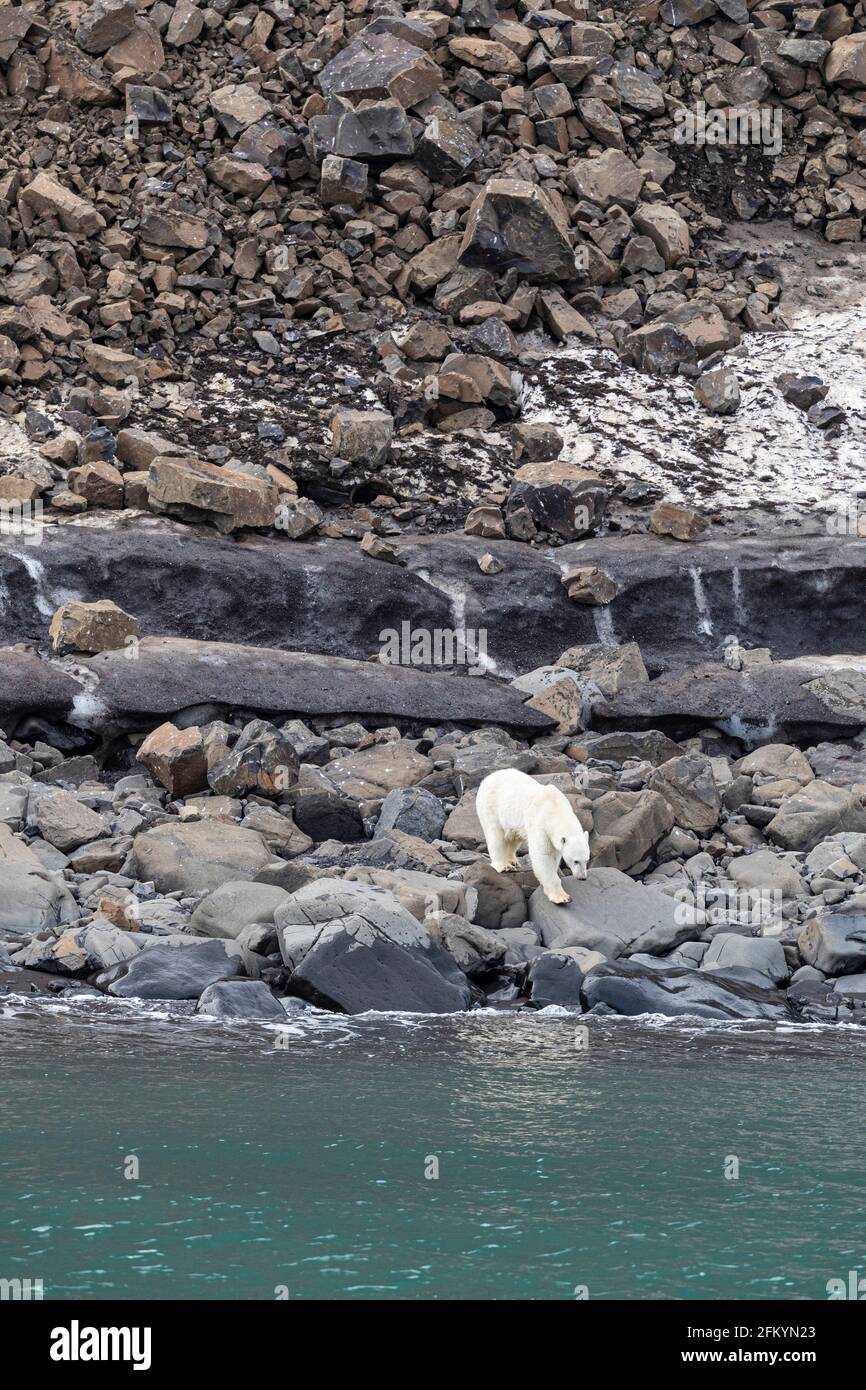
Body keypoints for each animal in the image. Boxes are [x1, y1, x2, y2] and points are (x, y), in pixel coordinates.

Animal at [475, 767, 589, 906]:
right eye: (576, 861)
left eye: (586, 860)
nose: (582, 877)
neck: (554, 807)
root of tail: (488, 777)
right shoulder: (540, 824)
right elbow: (543, 856)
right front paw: (561, 897)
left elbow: (554, 856)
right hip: (491, 805)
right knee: (495, 835)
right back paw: (503, 865)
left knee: (514, 836)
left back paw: (512, 860)